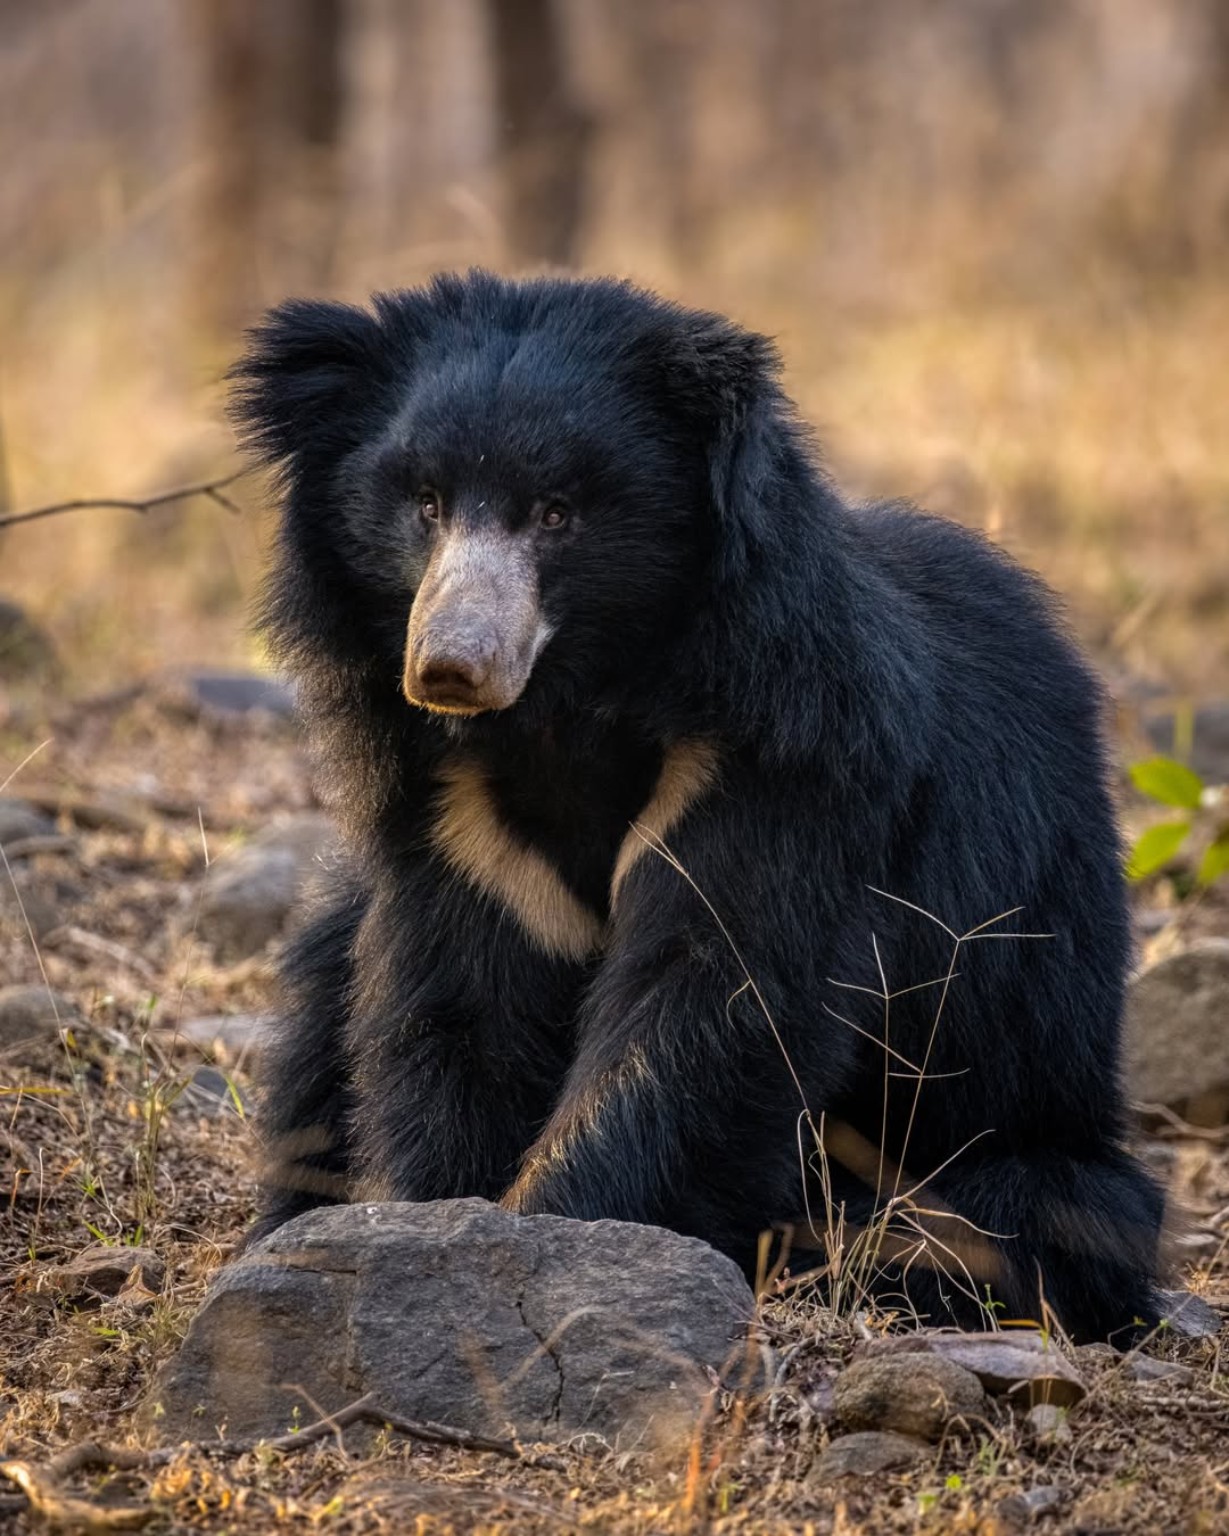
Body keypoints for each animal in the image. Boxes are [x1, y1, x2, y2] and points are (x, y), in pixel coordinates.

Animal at [232, 269, 1163, 1343]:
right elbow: (457, 1007)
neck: (569, 709)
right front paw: (431, 1228)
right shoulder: (459, 814)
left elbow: (710, 1003)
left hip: (1022, 1086)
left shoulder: (782, 757)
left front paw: (556, 1236)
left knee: (1019, 1220)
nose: (450, 668)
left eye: (557, 514)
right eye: (424, 502)